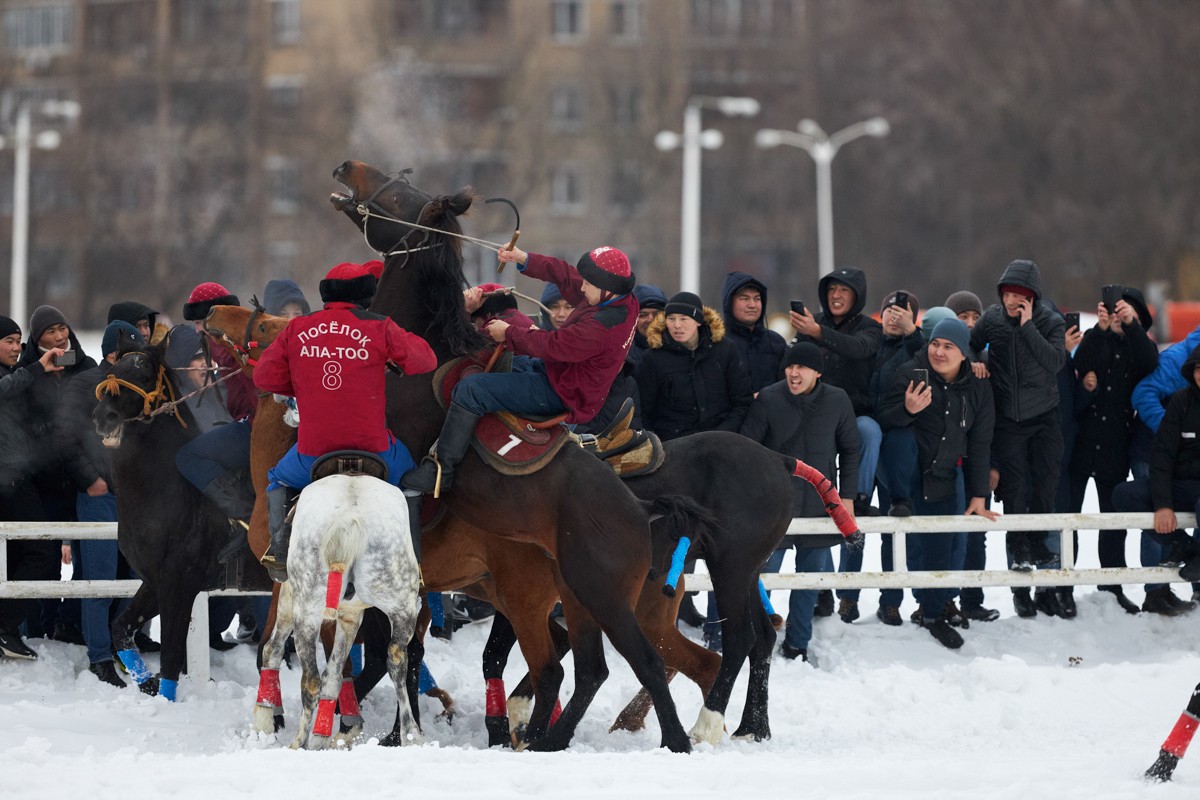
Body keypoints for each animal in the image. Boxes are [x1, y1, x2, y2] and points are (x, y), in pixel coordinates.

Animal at [90, 340, 268, 695]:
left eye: (144, 375)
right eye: (111, 371)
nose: (104, 417)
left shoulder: (180, 584)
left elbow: (172, 656)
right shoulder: (155, 582)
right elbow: (120, 628)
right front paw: (146, 681)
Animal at [258, 472, 422, 748]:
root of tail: (350, 518)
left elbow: (279, 652)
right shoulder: (351, 616)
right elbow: (335, 675)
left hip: (305, 606)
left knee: (303, 674)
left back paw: (294, 740)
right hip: (400, 600)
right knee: (397, 658)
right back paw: (412, 736)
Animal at [328, 159, 700, 753]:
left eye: (401, 195)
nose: (349, 167)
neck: (418, 355)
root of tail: (641, 512)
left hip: (602, 597)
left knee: (637, 661)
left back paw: (674, 741)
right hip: (575, 598)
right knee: (591, 668)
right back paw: (550, 740)